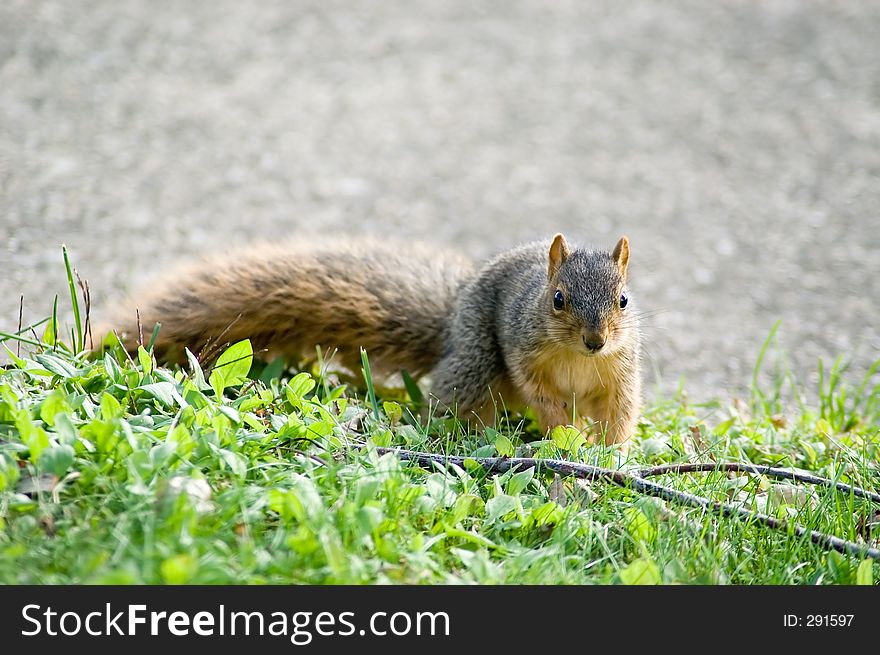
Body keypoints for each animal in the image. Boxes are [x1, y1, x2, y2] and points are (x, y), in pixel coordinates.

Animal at [103, 233, 644, 444]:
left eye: (623, 300)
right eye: (557, 299)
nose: (595, 340)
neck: (578, 359)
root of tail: (452, 322)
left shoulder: (619, 374)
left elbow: (620, 412)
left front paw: (611, 451)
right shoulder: (523, 355)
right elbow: (544, 400)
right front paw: (565, 435)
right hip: (477, 361)